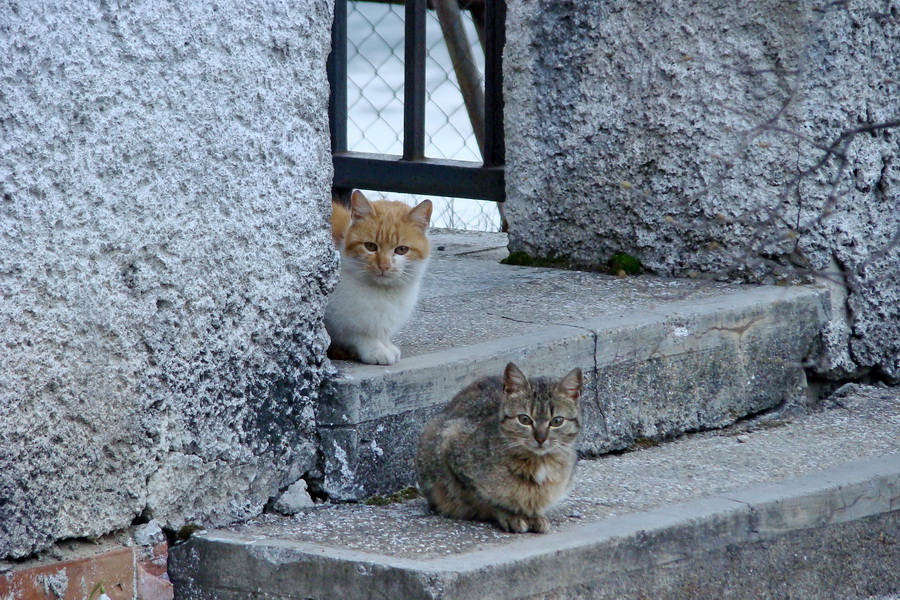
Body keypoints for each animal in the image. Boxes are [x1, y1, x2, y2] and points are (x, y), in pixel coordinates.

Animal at [326, 191, 434, 366]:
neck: (384, 293)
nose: (384, 265)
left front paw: (386, 345)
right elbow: (357, 334)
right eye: (370, 246)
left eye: (401, 249)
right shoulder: (338, 320)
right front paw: (376, 348)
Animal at [414, 364, 584, 532]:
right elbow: (488, 499)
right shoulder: (451, 442)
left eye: (557, 421)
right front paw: (510, 515)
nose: (541, 438)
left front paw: (535, 515)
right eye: (524, 419)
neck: (538, 463)